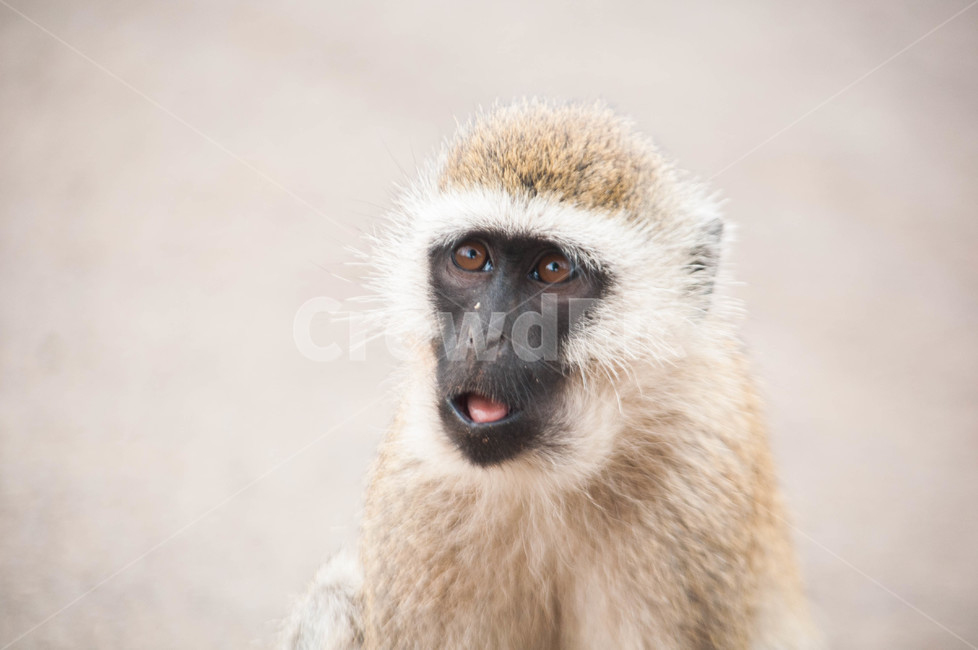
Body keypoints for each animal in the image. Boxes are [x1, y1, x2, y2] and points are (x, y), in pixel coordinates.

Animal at [280, 99, 819, 649]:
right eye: (471, 256)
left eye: (554, 269)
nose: (485, 335)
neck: (548, 477)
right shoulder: (418, 489)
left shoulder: (694, 486)